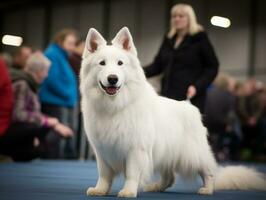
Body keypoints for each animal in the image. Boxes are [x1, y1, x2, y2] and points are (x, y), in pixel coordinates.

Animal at [79, 27, 266, 198]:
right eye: (102, 63)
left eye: (120, 63)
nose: (112, 79)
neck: (116, 105)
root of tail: (189, 106)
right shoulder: (102, 151)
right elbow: (104, 175)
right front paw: (100, 190)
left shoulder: (136, 149)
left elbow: (132, 174)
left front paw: (128, 191)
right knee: (169, 177)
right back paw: (156, 187)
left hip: (193, 154)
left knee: (208, 171)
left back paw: (207, 189)